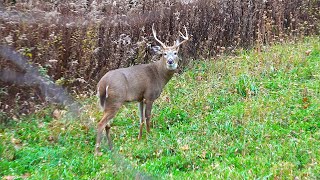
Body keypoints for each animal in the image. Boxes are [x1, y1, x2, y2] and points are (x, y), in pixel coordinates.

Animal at [95, 24, 190, 155]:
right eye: (164, 54)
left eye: (175, 53)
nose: (170, 62)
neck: (159, 75)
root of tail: (102, 84)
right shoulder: (149, 96)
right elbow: (147, 116)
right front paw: (150, 135)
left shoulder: (140, 98)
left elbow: (140, 119)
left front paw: (139, 138)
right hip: (115, 100)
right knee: (101, 124)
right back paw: (97, 151)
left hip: (104, 103)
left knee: (107, 125)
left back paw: (111, 147)